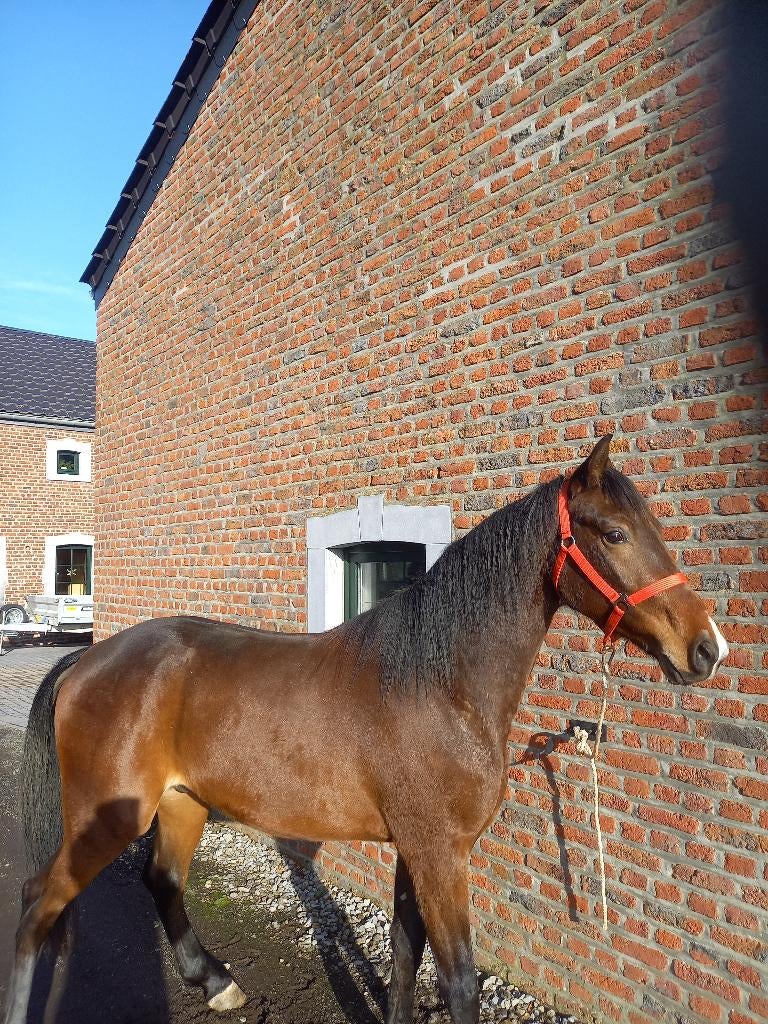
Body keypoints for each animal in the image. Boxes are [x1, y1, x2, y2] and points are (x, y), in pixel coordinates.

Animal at [3, 435, 729, 1024]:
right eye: (614, 534)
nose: (706, 647)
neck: (439, 681)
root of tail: (88, 659)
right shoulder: (441, 853)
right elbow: (459, 980)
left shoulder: (416, 849)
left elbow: (406, 955)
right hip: (106, 818)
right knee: (38, 905)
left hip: (183, 804)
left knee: (162, 883)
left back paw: (215, 983)